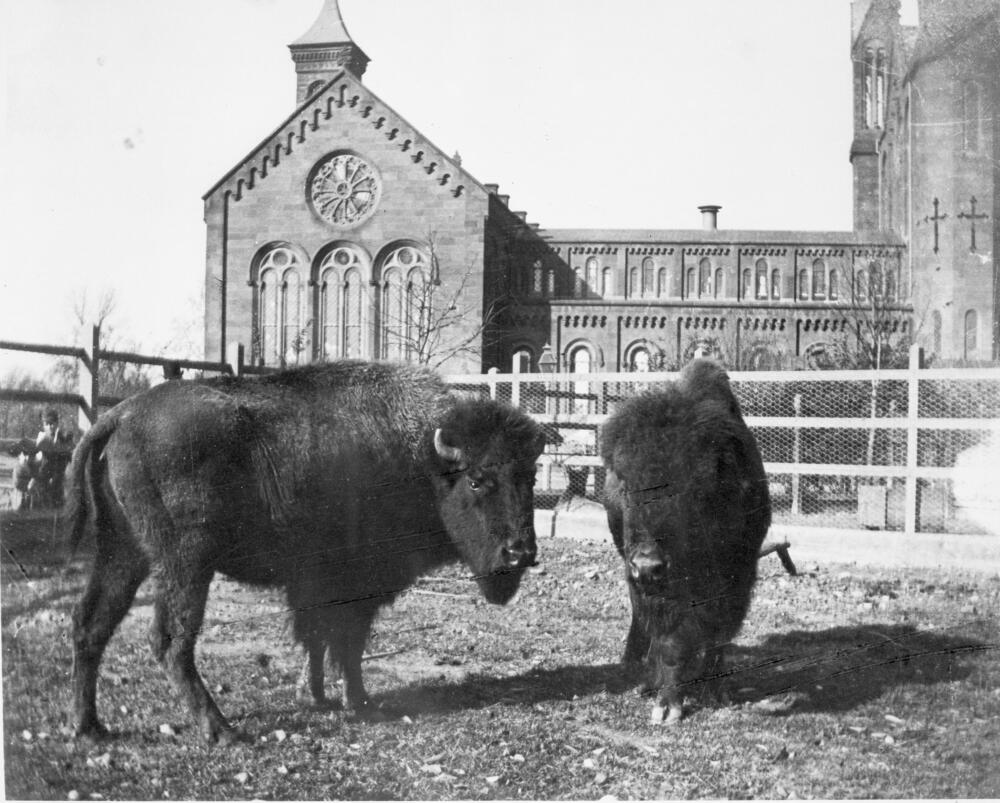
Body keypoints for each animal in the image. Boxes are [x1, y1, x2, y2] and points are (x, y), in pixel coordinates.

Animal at [67, 361, 546, 742]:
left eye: (532, 477)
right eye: (478, 480)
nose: (520, 552)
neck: (423, 460)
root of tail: (121, 415)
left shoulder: (313, 585)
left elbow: (316, 637)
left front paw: (314, 695)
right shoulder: (355, 585)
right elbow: (347, 642)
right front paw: (359, 702)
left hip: (123, 552)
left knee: (92, 623)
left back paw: (91, 728)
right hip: (185, 563)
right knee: (171, 639)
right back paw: (221, 730)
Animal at [601, 360, 771, 725]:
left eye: (697, 487)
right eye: (625, 485)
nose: (648, 565)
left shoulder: (737, 576)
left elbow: (717, 633)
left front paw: (712, 690)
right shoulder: (653, 588)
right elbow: (668, 639)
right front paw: (666, 704)